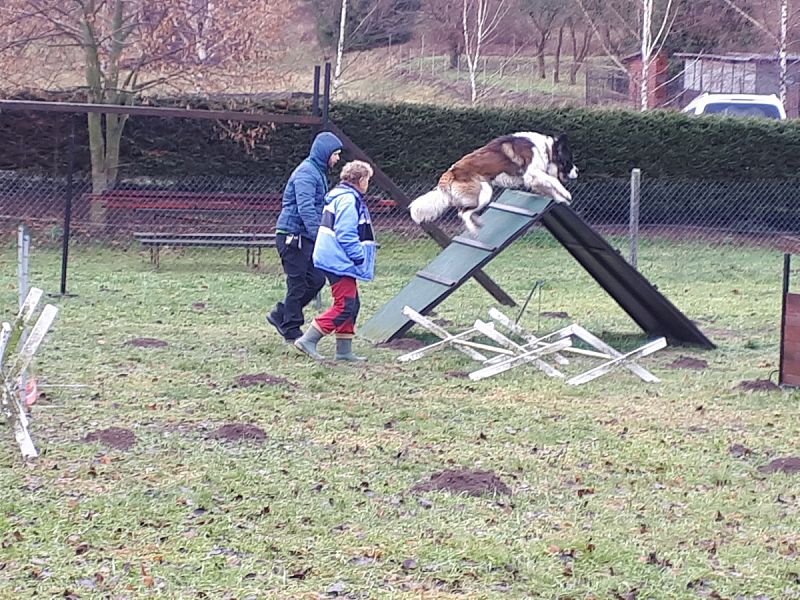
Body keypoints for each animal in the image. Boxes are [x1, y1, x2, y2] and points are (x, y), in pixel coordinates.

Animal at [410, 132, 580, 233]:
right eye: (569, 161)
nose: (578, 171)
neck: (545, 149)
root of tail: (450, 172)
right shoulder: (531, 172)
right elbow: (553, 180)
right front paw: (566, 194)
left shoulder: (533, 179)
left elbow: (548, 188)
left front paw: (560, 198)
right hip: (485, 191)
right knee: (463, 213)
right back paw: (474, 229)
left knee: (464, 210)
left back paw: (477, 222)